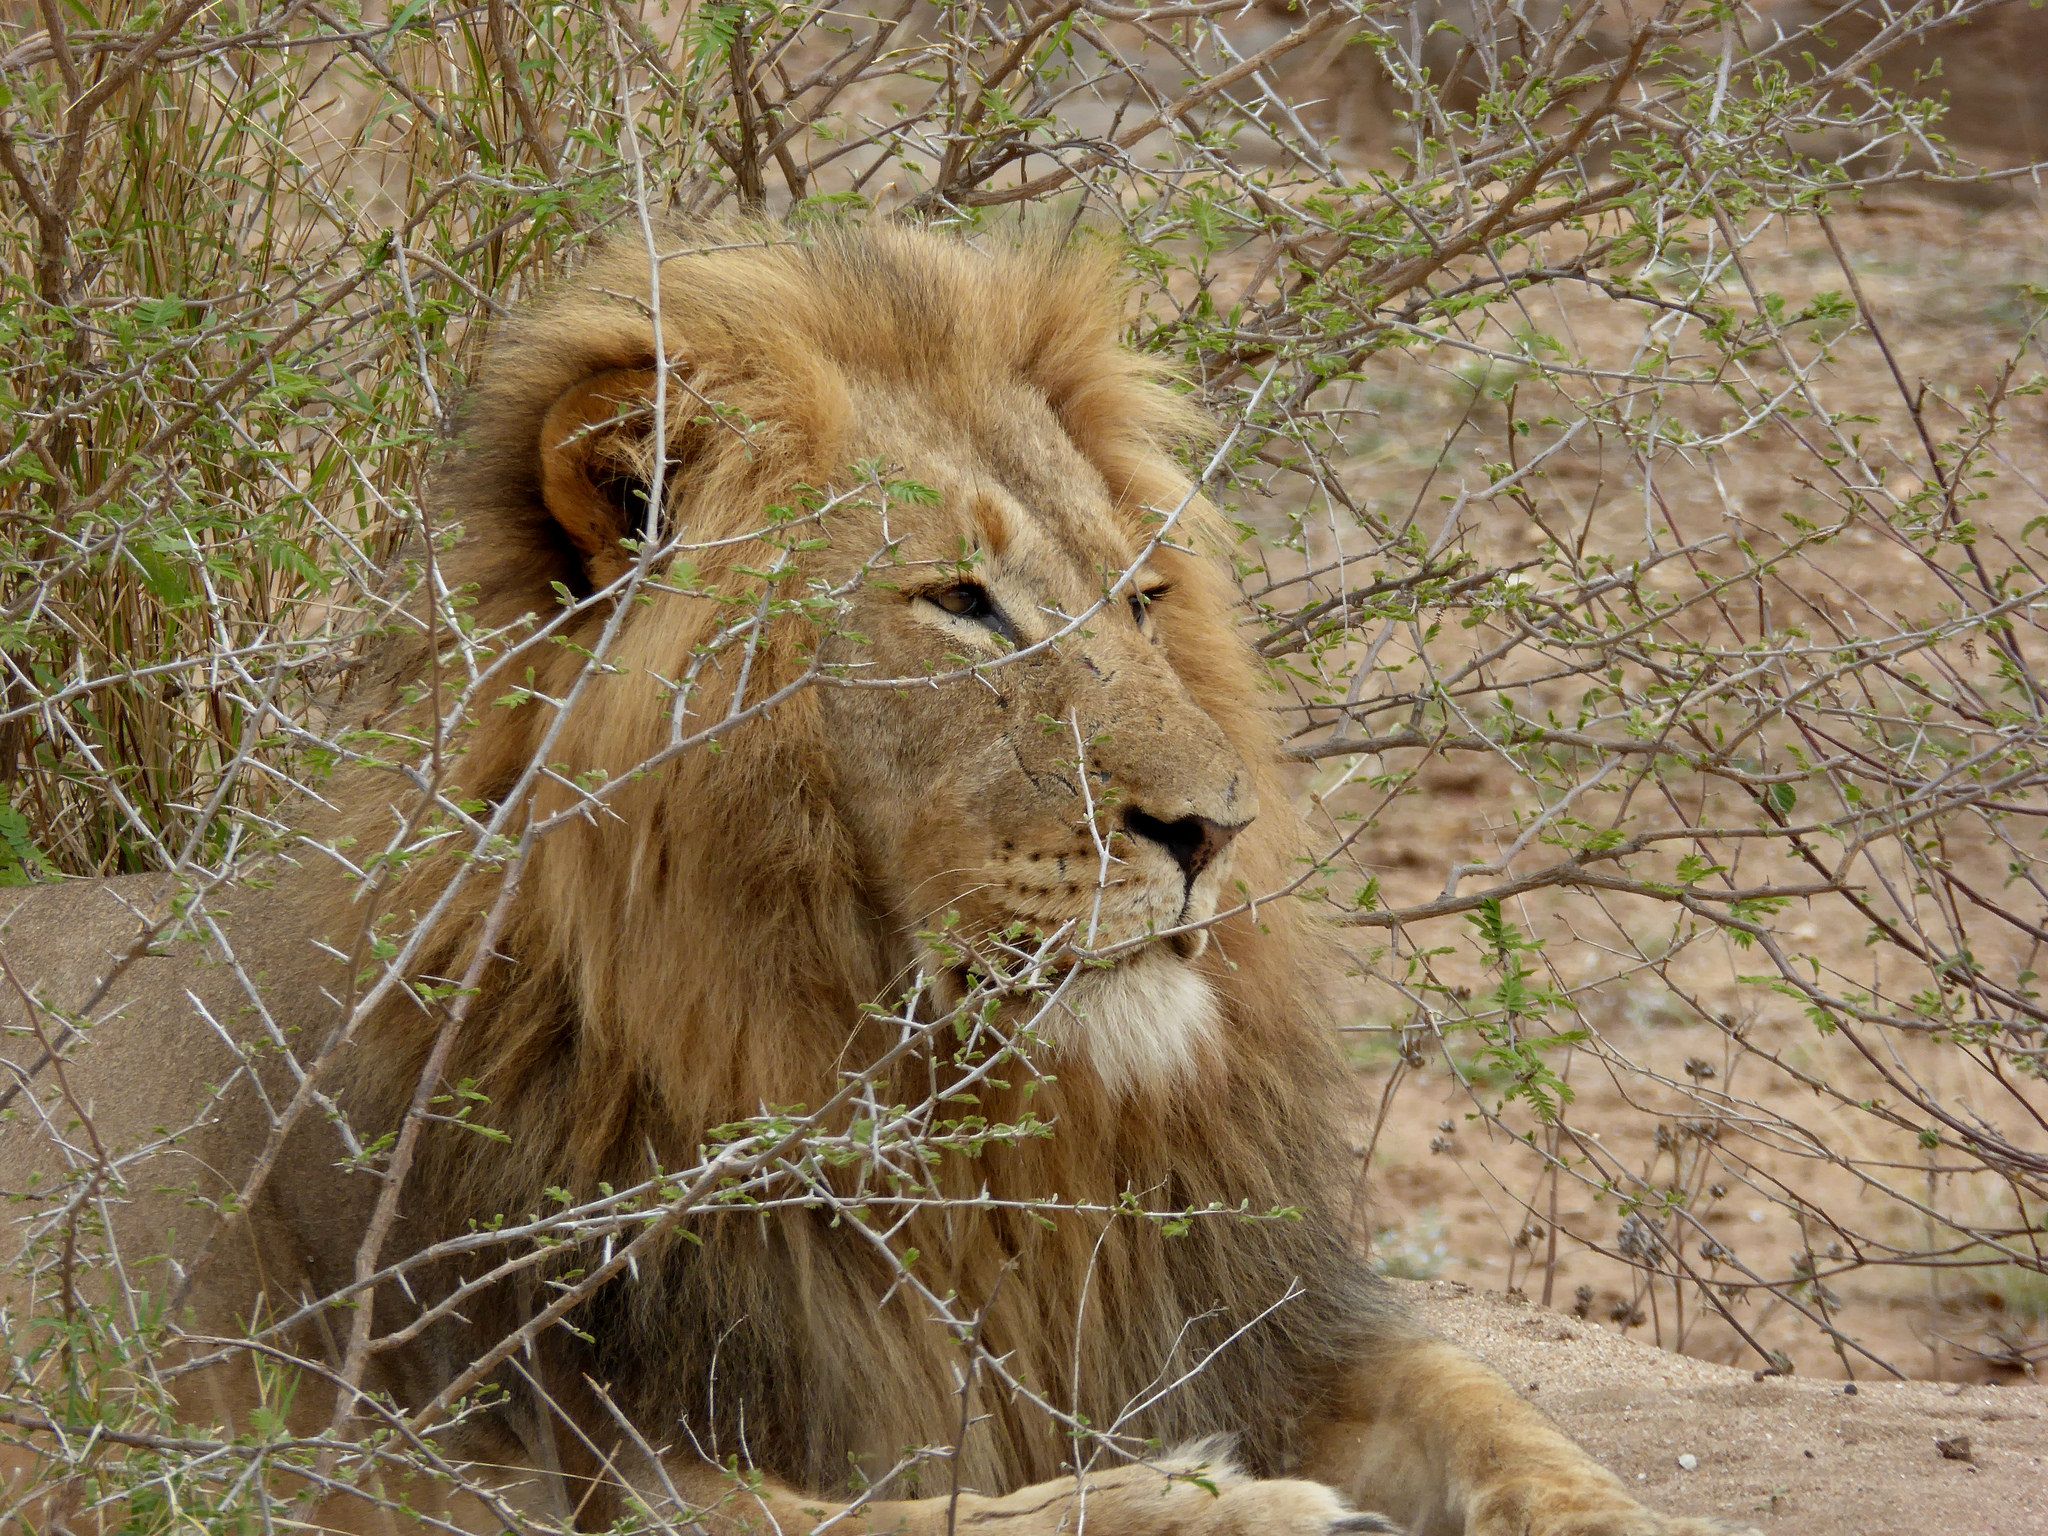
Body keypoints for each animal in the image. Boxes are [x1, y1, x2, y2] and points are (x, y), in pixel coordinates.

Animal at [0, 220, 1753, 1536]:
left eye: (1142, 594)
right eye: (960, 603)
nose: (1214, 831)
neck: (975, 1164)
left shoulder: (1249, 1331)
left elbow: (1500, 1413)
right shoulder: (505, 1461)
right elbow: (938, 1516)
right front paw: (1223, 1508)